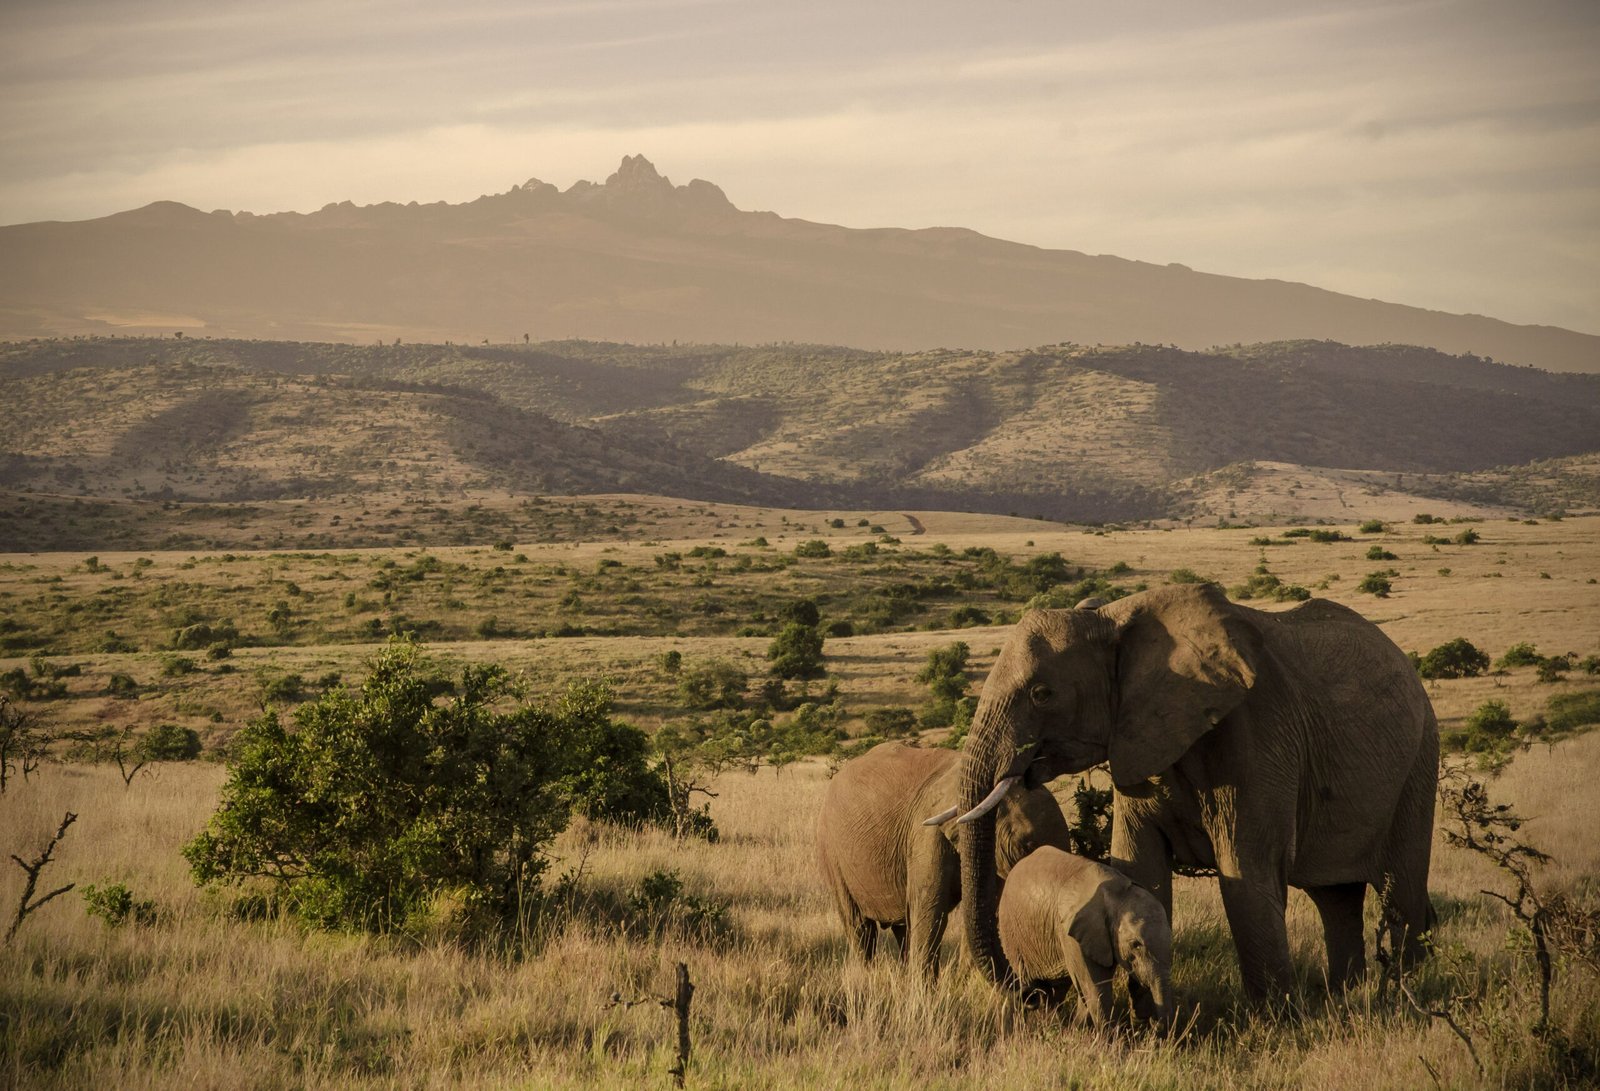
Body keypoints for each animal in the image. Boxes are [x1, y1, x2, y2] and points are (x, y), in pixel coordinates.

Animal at [817, 740, 1073, 976]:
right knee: (859, 926)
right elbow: (930, 910)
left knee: (902, 928)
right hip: (831, 848)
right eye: (1024, 846)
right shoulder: (926, 834)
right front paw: (925, 993)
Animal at [952, 583, 1437, 1003]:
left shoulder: (1258, 737)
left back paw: (1409, 992)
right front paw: (1150, 1026)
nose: (1033, 993)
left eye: (1042, 693)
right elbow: (1140, 868)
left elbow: (1245, 875)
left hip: (1418, 762)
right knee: (1337, 899)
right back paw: (1345, 997)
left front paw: (1275, 1022)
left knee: (1401, 891)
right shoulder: (1137, 740)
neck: (1113, 620)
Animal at [998, 846, 1172, 1029]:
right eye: (1135, 944)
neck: (1117, 895)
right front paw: (1106, 1036)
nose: (1154, 1023)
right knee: (1031, 986)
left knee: (1056, 989)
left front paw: (1078, 1030)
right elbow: (1094, 987)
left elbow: (1088, 987)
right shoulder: (1072, 937)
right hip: (1012, 934)